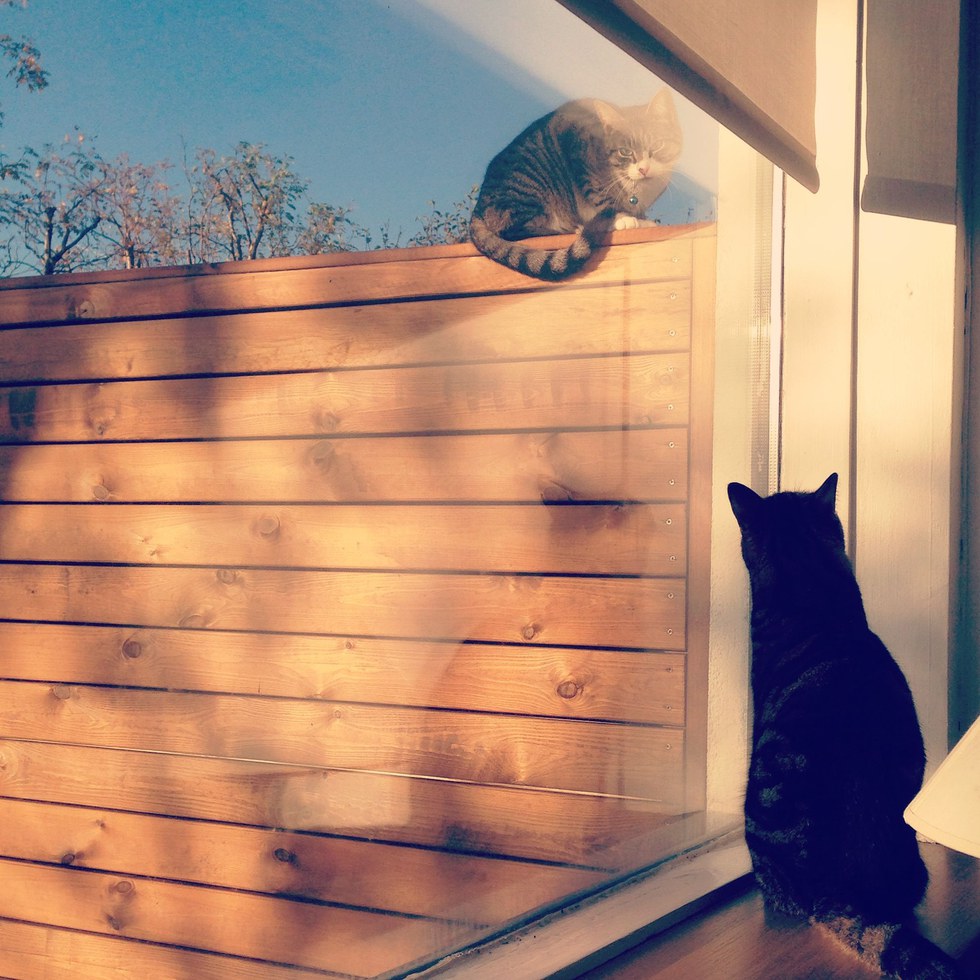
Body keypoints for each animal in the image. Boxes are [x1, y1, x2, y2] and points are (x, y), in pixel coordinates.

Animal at [469, 89, 681, 281]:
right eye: (625, 151)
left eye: (658, 145)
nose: (643, 169)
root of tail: (478, 207)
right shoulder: (581, 159)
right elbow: (603, 200)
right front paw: (624, 219)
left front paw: (642, 220)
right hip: (528, 190)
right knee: (513, 229)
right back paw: (573, 228)